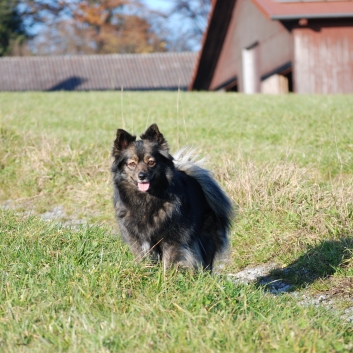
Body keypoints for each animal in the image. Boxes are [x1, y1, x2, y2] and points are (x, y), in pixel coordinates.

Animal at [110, 122, 231, 270]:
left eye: (151, 162)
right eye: (132, 164)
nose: (142, 176)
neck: (146, 200)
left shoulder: (171, 238)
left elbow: (168, 262)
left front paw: (165, 276)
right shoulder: (137, 239)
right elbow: (143, 258)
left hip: (206, 235)